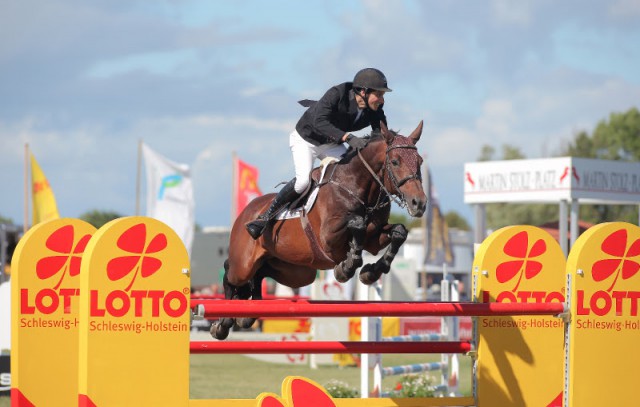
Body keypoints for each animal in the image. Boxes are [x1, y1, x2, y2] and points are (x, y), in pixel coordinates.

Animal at [212, 121, 428, 342]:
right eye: (394, 161)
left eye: (419, 161)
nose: (418, 203)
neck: (360, 189)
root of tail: (246, 212)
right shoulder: (328, 239)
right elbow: (357, 224)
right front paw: (346, 268)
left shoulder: (373, 239)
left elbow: (399, 232)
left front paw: (371, 272)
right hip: (244, 263)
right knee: (230, 273)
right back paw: (223, 323)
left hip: (295, 272)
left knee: (260, 273)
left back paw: (246, 315)